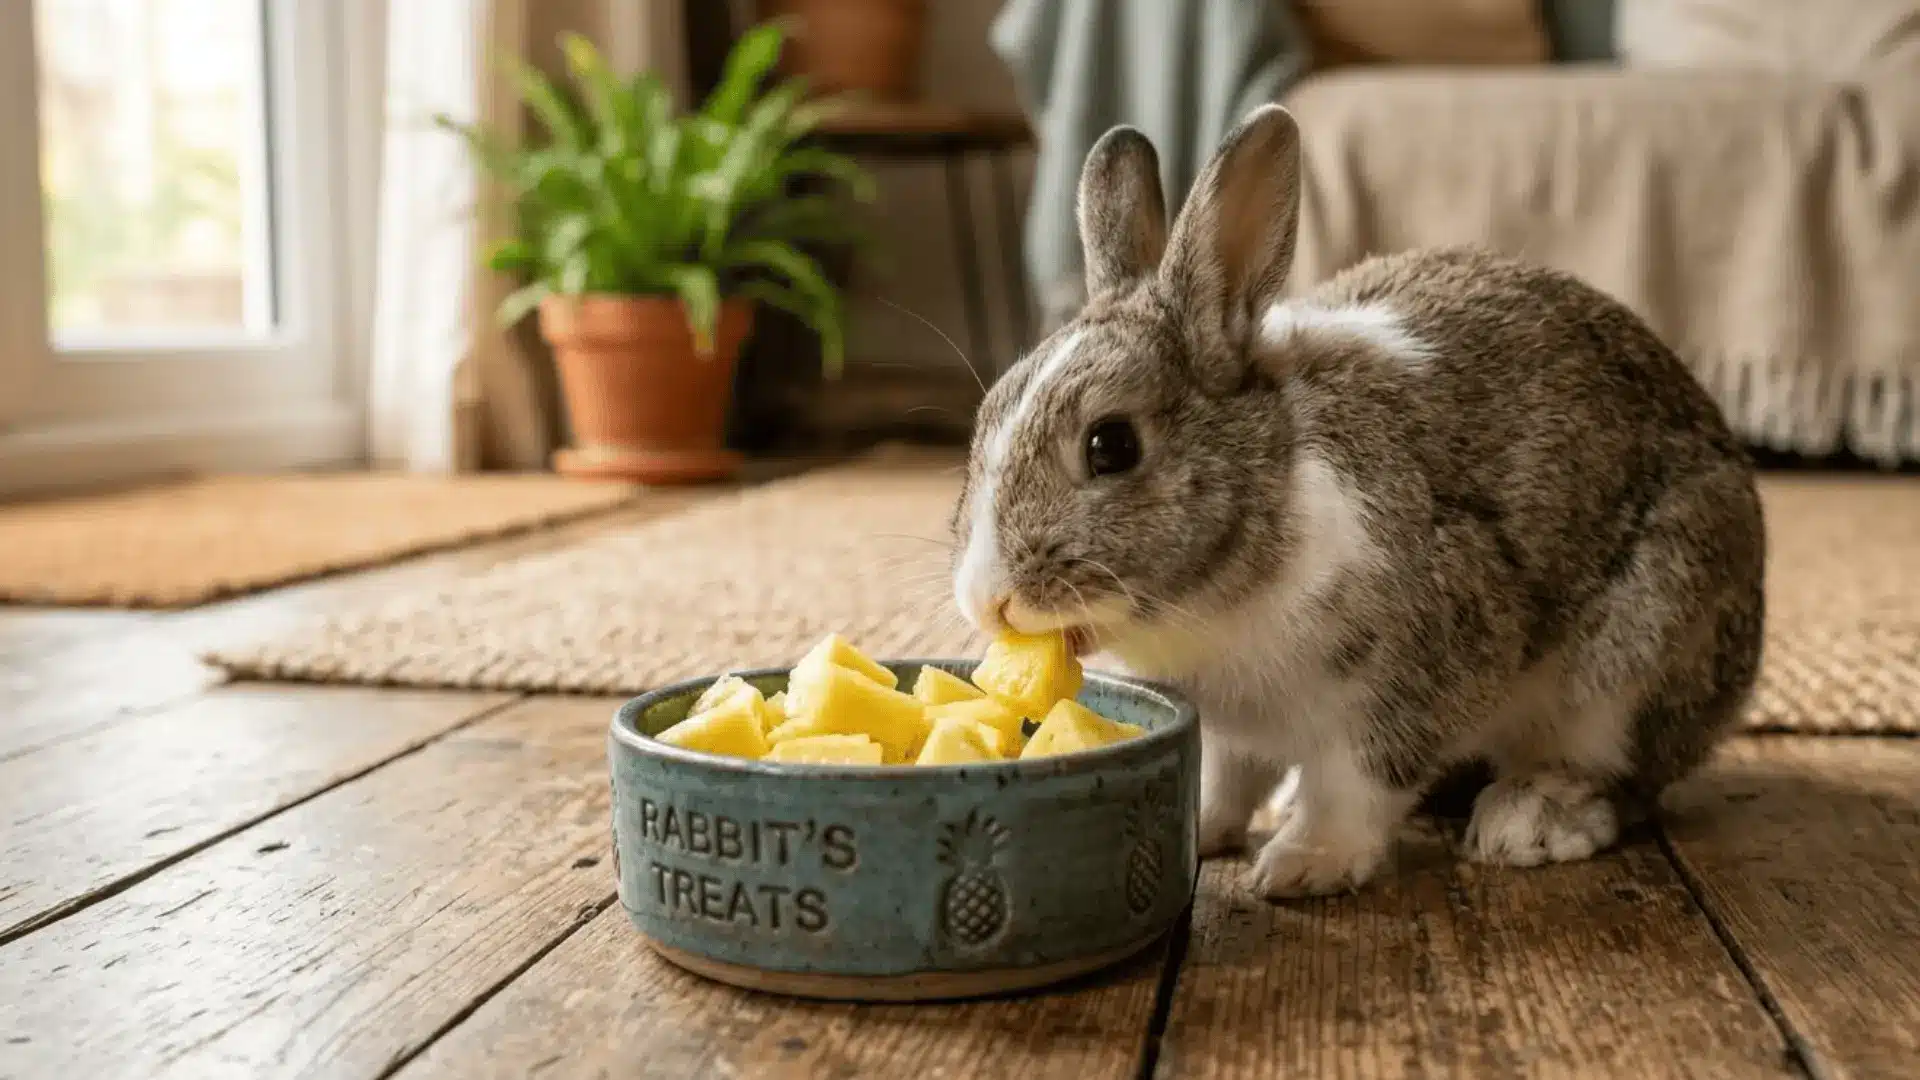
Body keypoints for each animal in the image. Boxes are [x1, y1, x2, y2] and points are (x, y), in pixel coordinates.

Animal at [948, 104, 1765, 899]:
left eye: (1111, 445)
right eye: (986, 413)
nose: (990, 600)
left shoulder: (1414, 674)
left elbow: (1356, 784)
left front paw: (1306, 864)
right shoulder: (1232, 725)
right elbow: (1225, 775)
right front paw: (1205, 829)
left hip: (1638, 655)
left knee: (1625, 777)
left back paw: (1530, 819)